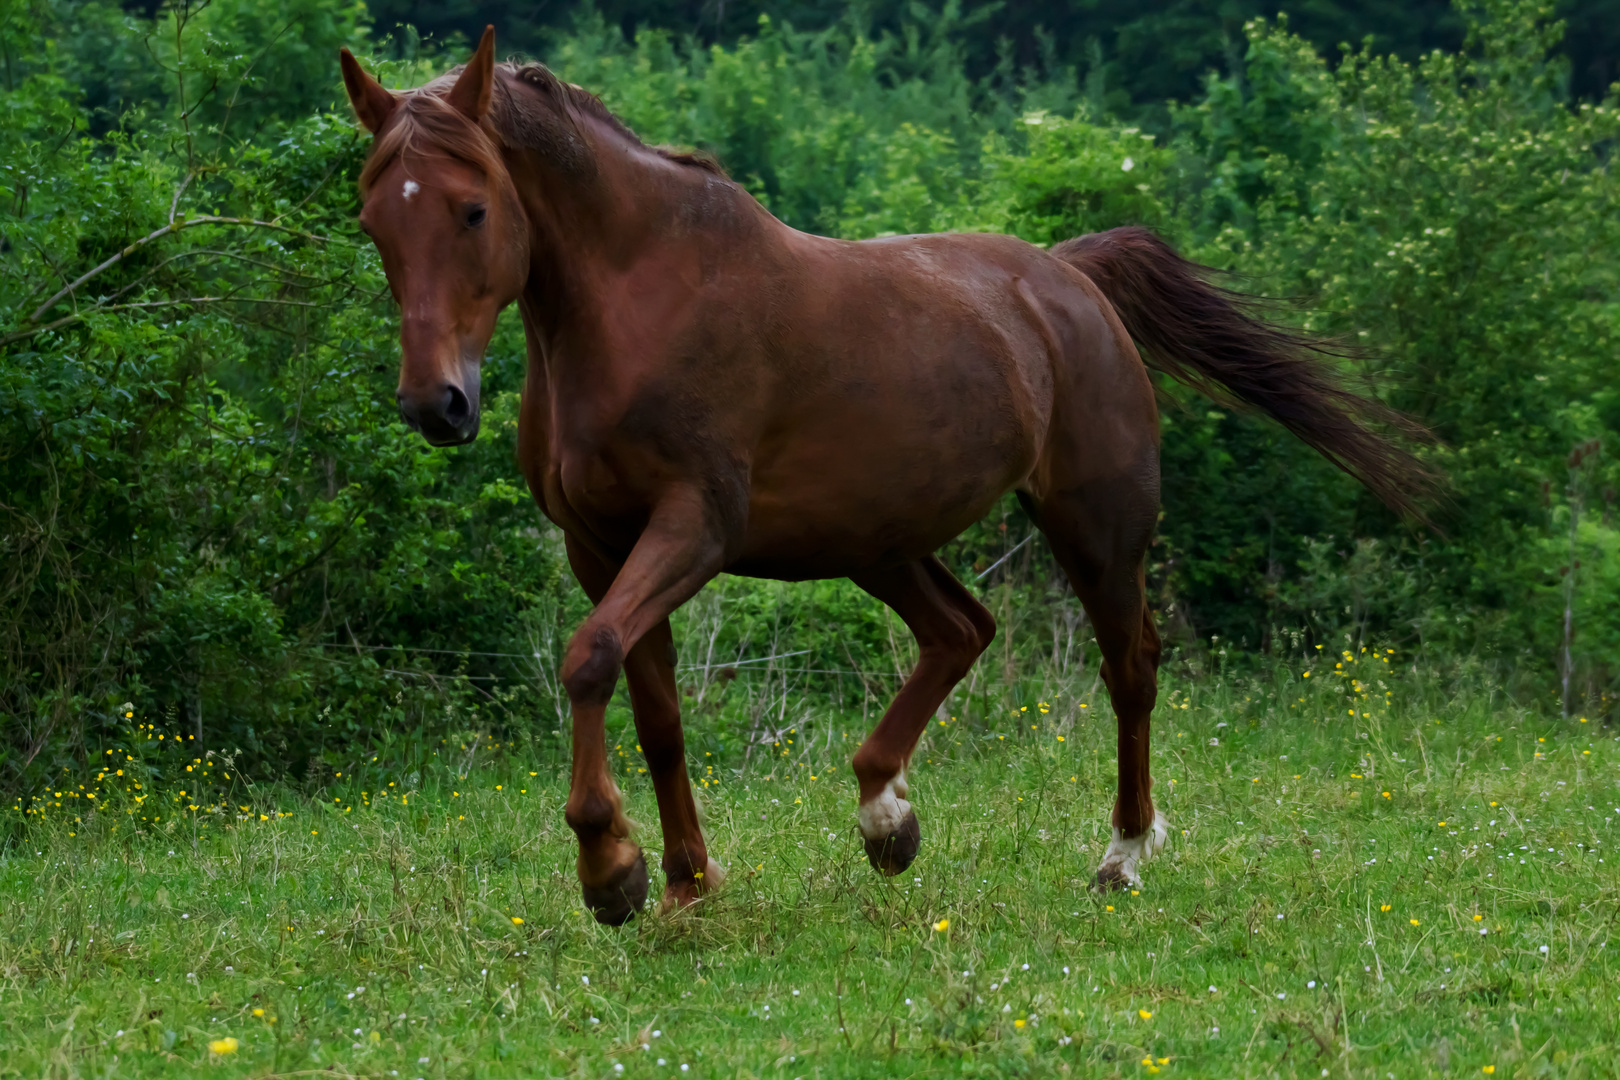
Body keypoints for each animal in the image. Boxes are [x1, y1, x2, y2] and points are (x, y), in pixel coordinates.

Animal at [335, 29, 1425, 926]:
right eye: (375, 223)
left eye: (474, 209)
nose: (436, 405)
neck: (637, 301)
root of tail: (1070, 275)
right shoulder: (598, 544)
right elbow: (656, 711)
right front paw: (684, 881)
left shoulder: (694, 526)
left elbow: (588, 658)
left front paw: (611, 871)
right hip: (876, 540)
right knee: (961, 632)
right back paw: (885, 816)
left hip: (1094, 527)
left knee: (1130, 666)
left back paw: (1119, 854)